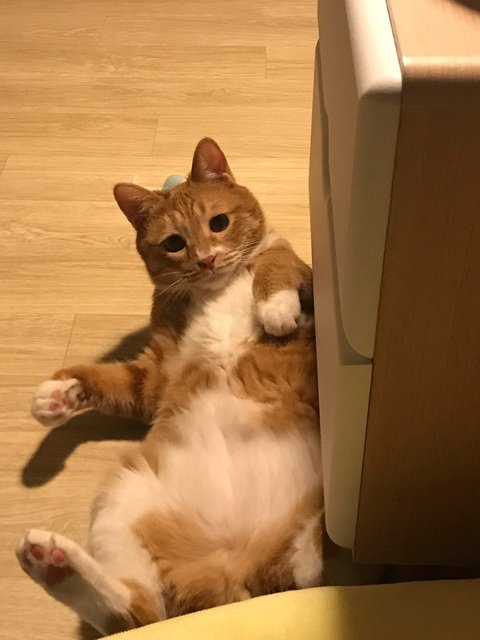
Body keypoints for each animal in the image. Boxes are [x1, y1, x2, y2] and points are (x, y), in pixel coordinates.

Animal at [16, 138, 323, 635]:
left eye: (219, 223)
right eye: (174, 243)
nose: (207, 259)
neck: (216, 291)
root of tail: (235, 575)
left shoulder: (304, 272)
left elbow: (273, 264)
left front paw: (275, 309)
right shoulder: (159, 371)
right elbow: (114, 380)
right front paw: (57, 396)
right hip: (123, 499)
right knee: (136, 614)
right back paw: (51, 561)